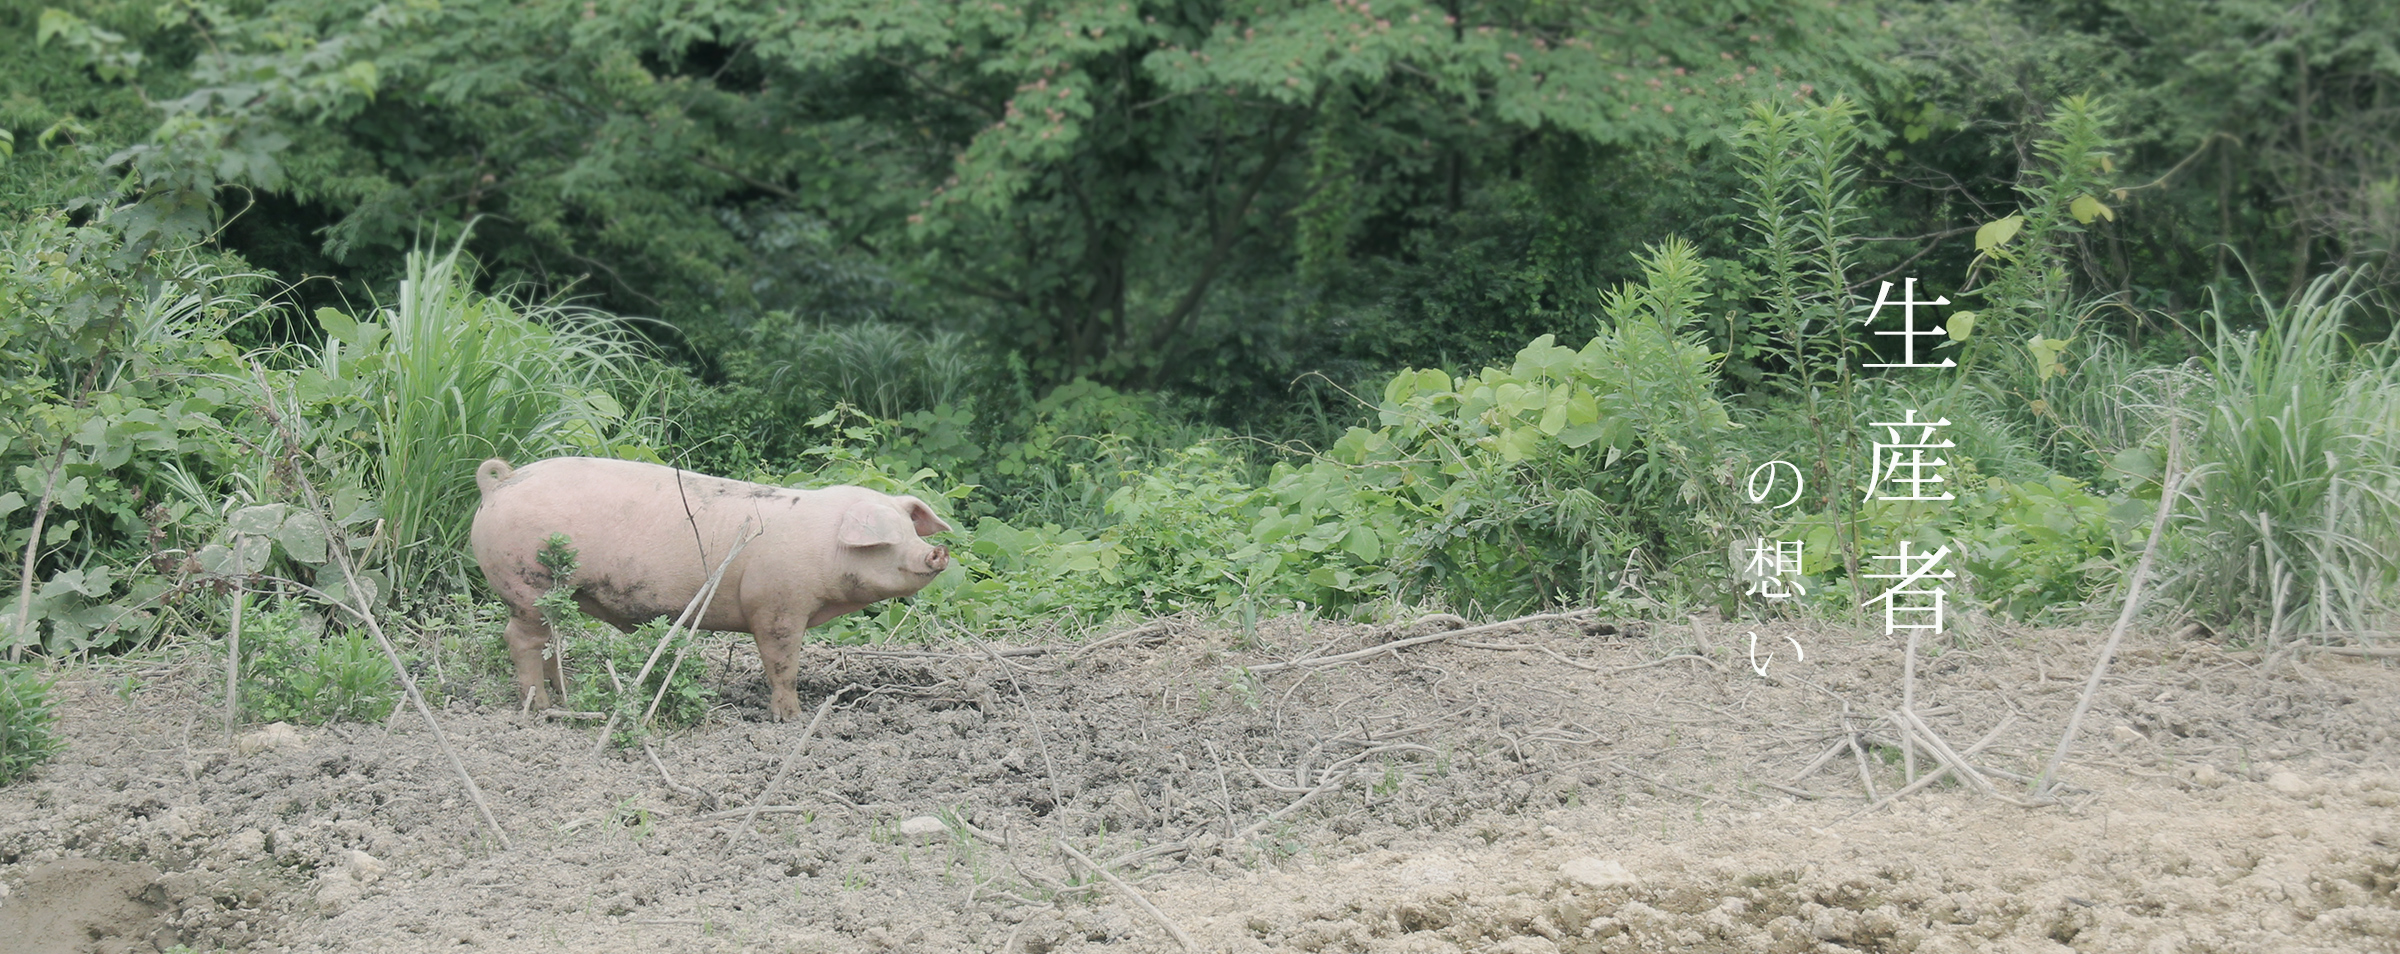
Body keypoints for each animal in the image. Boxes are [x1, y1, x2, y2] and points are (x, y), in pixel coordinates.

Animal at [468, 457, 955, 719]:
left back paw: (563, 694)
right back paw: (540, 707)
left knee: (550, 640)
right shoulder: (776, 605)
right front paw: (792, 718)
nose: (938, 551)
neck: (824, 550)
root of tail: (498, 484)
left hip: (555, 595)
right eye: (889, 539)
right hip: (525, 585)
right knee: (520, 639)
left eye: (911, 531)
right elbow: (782, 663)